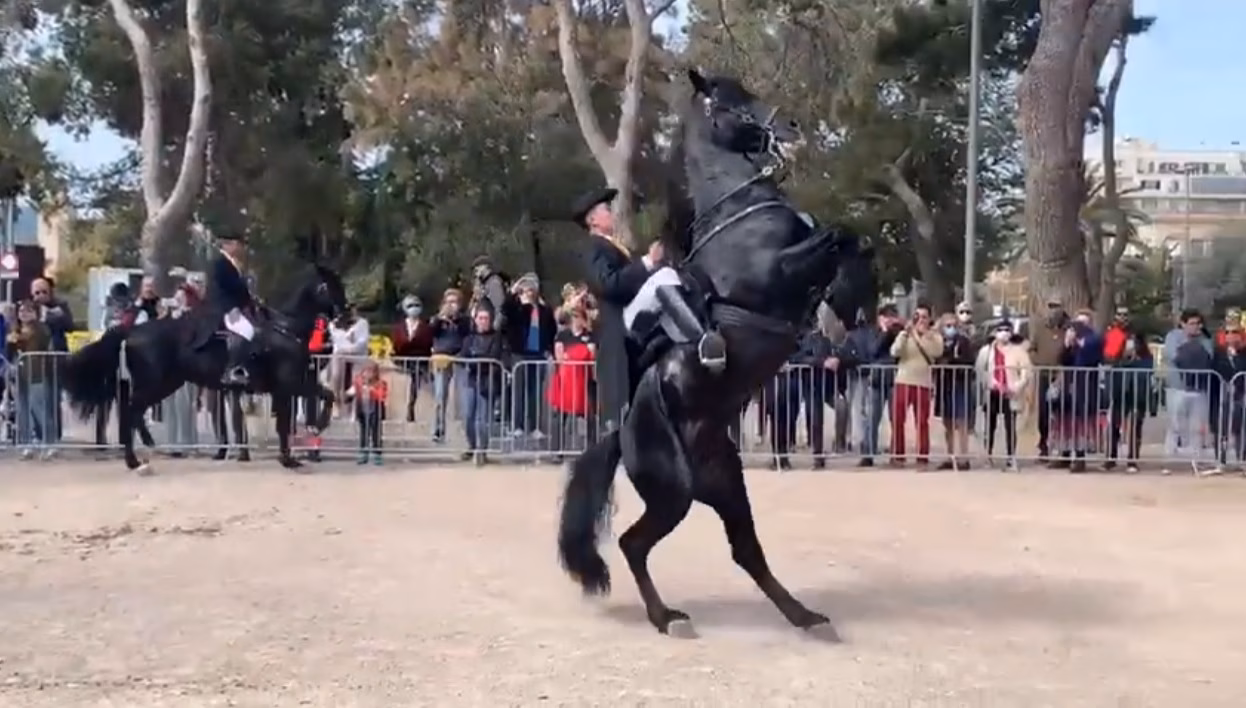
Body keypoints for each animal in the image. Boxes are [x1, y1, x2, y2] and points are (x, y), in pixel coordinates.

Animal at [61, 262, 348, 474]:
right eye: (332, 285)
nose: (346, 314)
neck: (287, 329)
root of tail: (131, 330)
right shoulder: (289, 385)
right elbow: (304, 411)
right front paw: (299, 447)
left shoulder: (289, 387)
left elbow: (321, 400)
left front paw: (299, 446)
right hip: (156, 383)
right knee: (132, 410)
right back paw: (135, 460)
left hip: (167, 383)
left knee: (134, 412)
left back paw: (140, 454)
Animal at [557, 69, 878, 640]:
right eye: (728, 104)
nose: (790, 127)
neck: (739, 209)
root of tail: (621, 429)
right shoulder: (777, 273)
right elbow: (839, 235)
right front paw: (848, 302)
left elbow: (850, 239)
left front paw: (849, 302)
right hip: (673, 491)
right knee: (634, 544)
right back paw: (668, 619)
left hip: (727, 485)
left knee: (746, 551)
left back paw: (807, 618)